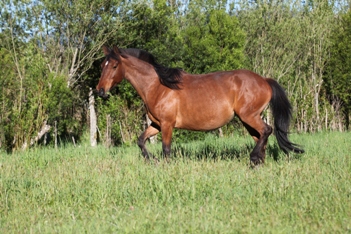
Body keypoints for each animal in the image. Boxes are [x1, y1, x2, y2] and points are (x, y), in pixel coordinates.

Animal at [97, 46, 306, 165]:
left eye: (114, 66)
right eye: (102, 66)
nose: (100, 91)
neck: (159, 86)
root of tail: (264, 80)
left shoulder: (167, 124)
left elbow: (166, 149)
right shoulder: (156, 124)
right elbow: (141, 141)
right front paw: (151, 161)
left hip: (249, 116)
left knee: (267, 131)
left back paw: (254, 159)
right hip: (248, 119)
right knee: (260, 137)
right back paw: (258, 163)